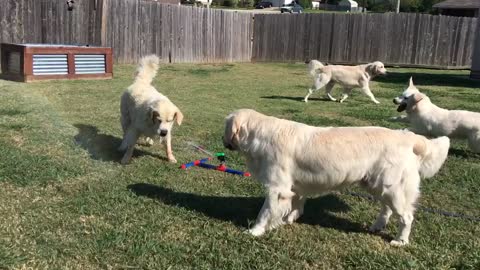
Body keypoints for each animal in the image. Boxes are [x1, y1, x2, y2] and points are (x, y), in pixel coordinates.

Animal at [223, 108, 448, 246]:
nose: (222, 140)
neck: (261, 136)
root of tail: (407, 136)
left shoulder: (277, 188)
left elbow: (265, 212)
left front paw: (255, 231)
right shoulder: (295, 187)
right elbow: (295, 205)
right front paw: (289, 219)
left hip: (393, 189)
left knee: (406, 217)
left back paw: (400, 241)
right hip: (379, 186)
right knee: (387, 210)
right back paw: (377, 226)